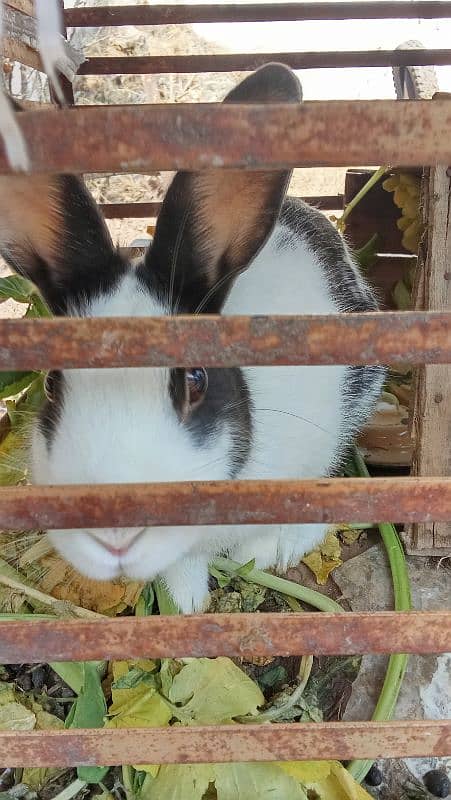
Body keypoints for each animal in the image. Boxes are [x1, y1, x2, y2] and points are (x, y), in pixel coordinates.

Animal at [0, 64, 384, 612]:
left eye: (196, 380)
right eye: (52, 384)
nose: (115, 536)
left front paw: (272, 554)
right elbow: (182, 574)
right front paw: (189, 608)